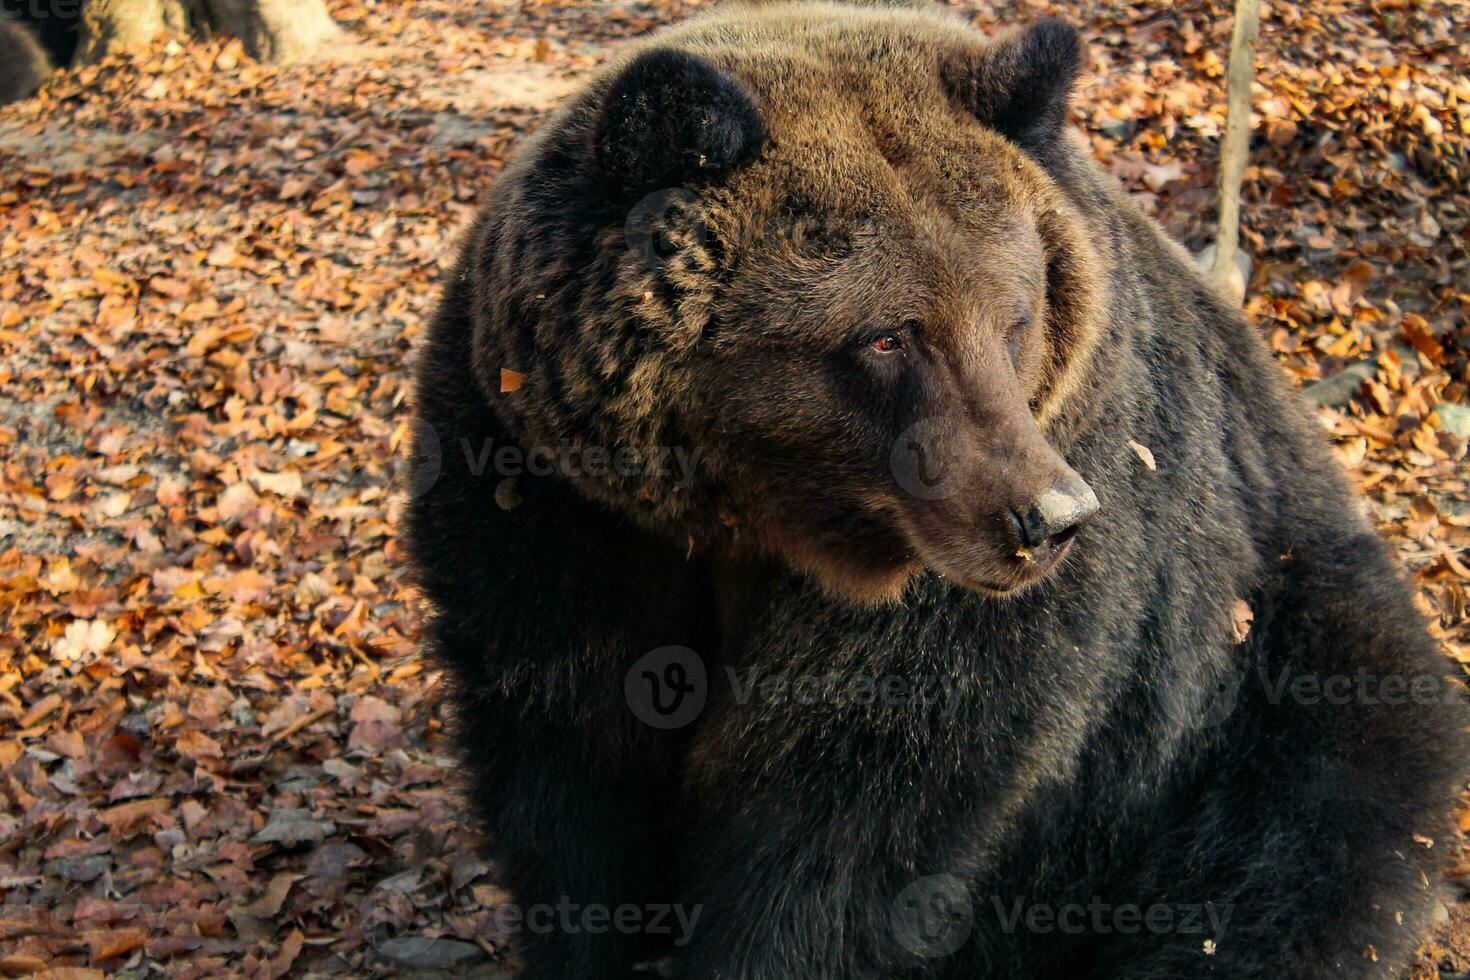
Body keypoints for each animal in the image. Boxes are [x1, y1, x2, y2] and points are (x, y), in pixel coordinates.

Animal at [405, 3, 1470, 975]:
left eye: (1015, 315)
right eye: (886, 335)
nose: (1049, 519)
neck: (755, 522)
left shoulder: (989, 583)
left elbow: (847, 813)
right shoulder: (554, 503)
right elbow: (572, 773)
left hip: (1273, 665)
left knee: (1286, 856)